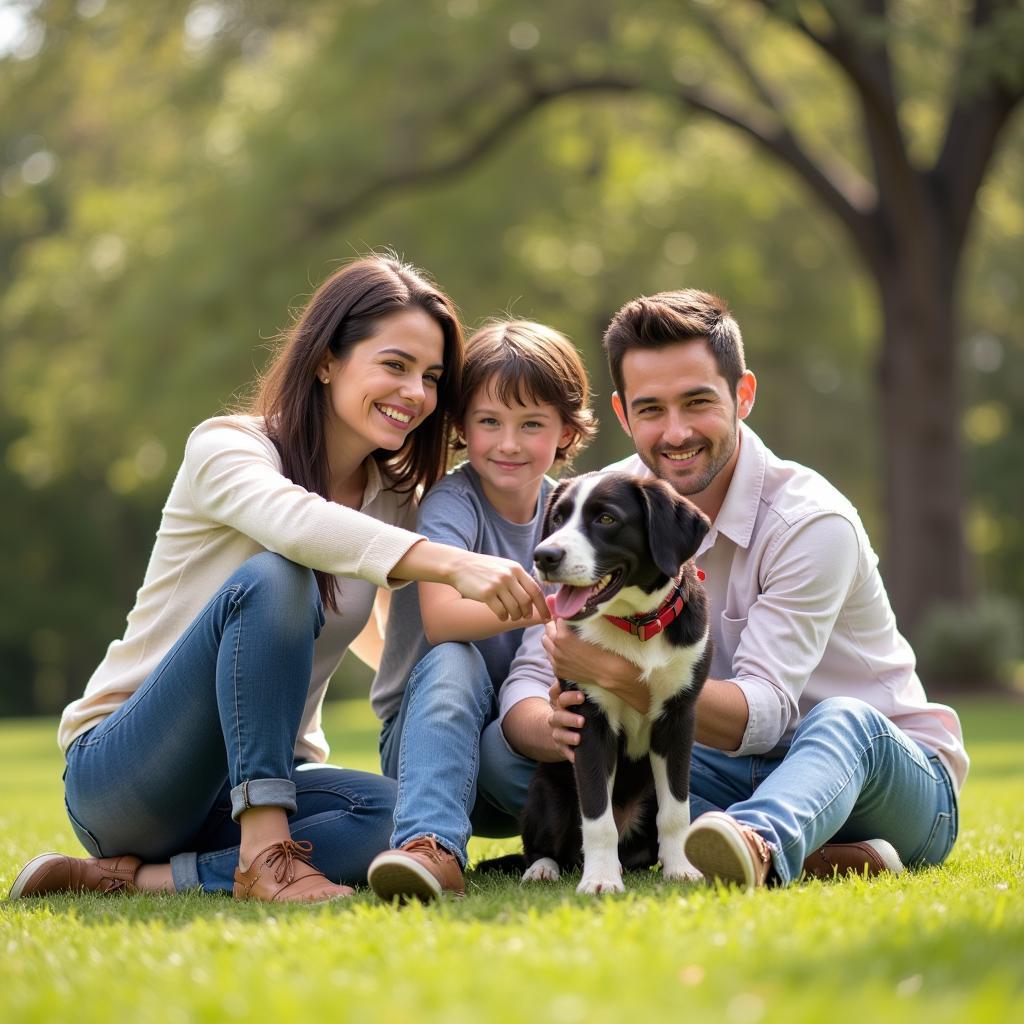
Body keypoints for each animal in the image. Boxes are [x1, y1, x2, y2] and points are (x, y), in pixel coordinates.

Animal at [524, 473, 708, 897]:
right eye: (557, 519)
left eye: (606, 519)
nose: (544, 556)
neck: (636, 624)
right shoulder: (589, 718)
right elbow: (596, 816)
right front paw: (600, 880)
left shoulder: (678, 718)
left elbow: (676, 810)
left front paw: (681, 869)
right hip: (548, 791)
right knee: (542, 845)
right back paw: (543, 870)